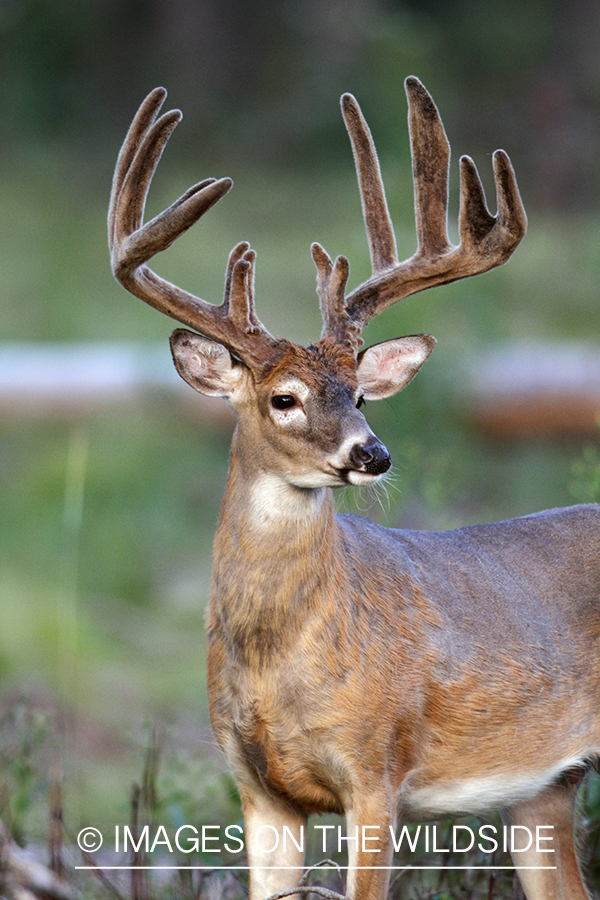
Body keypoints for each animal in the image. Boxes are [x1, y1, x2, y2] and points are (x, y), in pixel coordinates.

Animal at [108, 77, 600, 900]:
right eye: (284, 398)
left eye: (362, 395)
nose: (373, 454)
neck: (278, 659)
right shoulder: (257, 787)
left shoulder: (376, 770)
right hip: (544, 791)